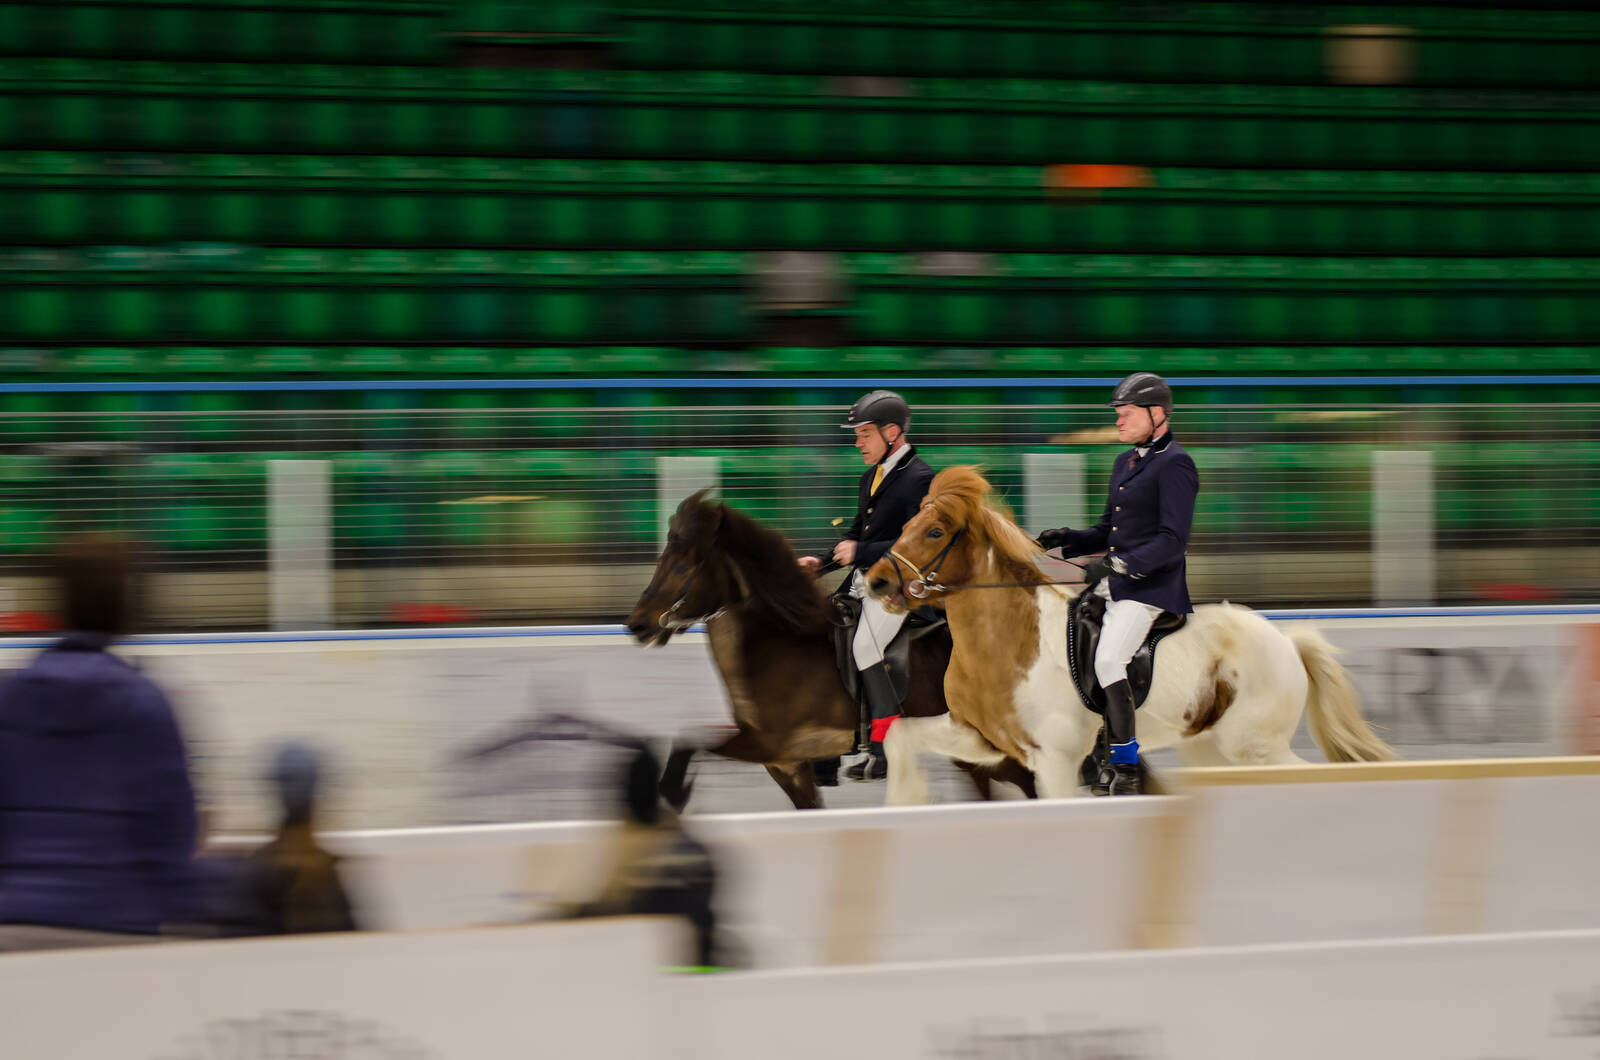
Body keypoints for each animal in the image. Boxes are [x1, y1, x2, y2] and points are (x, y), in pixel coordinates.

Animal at [625, 490, 1038, 810]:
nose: (638, 625)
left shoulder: (767, 742)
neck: (776, 643)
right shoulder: (786, 763)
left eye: (682, 568)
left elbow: (688, 742)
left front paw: (674, 792)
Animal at [862, 466, 1394, 804]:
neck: (1007, 643)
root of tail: (1286, 641)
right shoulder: (982, 741)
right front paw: (905, 798)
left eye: (934, 532)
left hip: (1256, 746)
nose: (877, 583)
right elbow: (902, 738)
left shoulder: (1055, 760)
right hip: (1208, 748)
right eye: (908, 522)